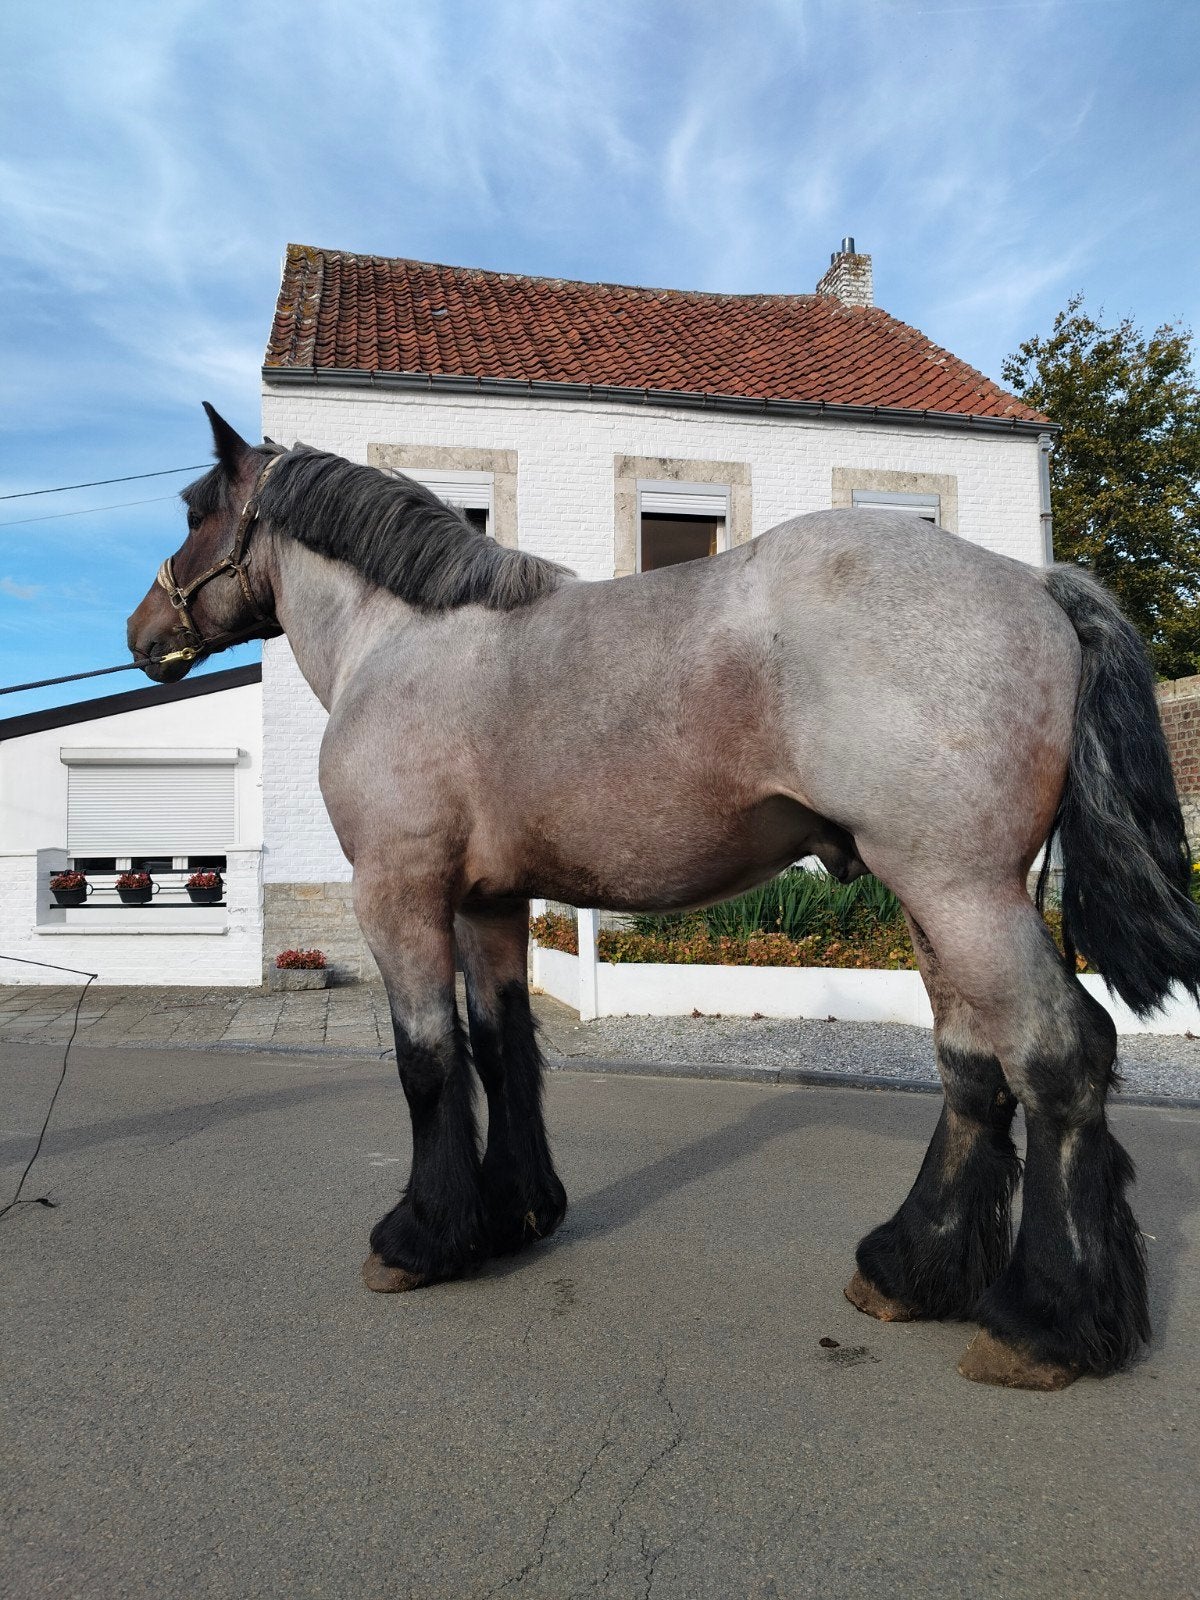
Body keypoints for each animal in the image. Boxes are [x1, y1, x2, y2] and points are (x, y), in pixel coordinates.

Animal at [127, 404, 1200, 1391]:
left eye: (194, 511)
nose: (144, 633)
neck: (405, 642)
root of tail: (1036, 584)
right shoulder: (488, 903)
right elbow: (503, 1048)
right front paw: (516, 1214)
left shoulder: (398, 895)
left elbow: (428, 1063)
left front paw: (422, 1237)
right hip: (944, 903)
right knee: (974, 1069)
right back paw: (909, 1268)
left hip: (960, 890)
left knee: (1059, 1057)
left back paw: (1043, 1323)